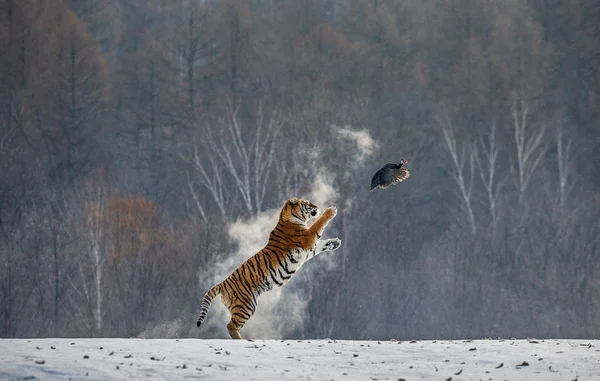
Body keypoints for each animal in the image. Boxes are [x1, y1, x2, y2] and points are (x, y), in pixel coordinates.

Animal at [195, 197, 340, 336]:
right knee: (231, 325)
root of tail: (222, 283)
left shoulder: (308, 250)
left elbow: (320, 245)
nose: (317, 207)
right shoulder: (308, 239)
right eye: (307, 203)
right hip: (246, 305)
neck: (288, 217)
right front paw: (331, 210)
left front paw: (334, 243)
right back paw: (245, 340)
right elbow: (318, 224)